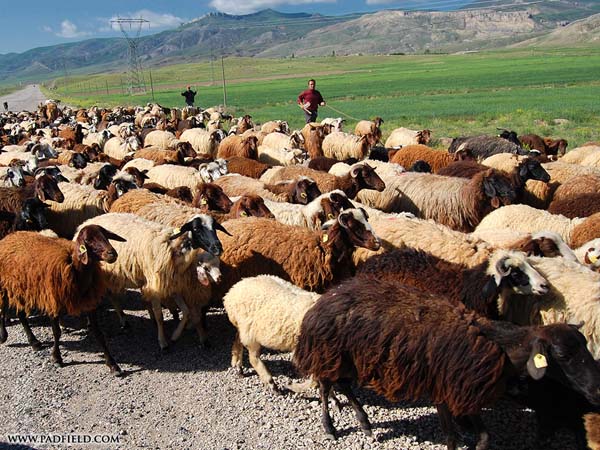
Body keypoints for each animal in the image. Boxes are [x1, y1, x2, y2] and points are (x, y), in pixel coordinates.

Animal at [0, 227, 125, 374]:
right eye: (88, 240)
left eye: (105, 235)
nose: (112, 253)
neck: (76, 270)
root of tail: (10, 236)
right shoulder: (52, 301)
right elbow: (56, 332)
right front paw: (56, 358)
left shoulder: (89, 302)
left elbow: (98, 333)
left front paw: (113, 364)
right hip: (6, 286)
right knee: (3, 309)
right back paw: (3, 335)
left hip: (22, 289)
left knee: (21, 315)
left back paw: (34, 342)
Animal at [78, 213, 229, 350]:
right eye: (197, 228)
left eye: (214, 227)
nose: (218, 248)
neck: (173, 247)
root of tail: (89, 221)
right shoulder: (156, 286)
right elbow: (160, 316)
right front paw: (163, 342)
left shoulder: (173, 285)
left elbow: (185, 311)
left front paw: (175, 335)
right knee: (110, 297)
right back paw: (112, 321)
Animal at [292, 274, 600, 446]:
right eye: (562, 355)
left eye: (586, 346)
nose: (596, 390)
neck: (498, 346)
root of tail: (324, 300)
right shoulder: (447, 390)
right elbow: (452, 437)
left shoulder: (461, 394)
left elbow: (483, 438)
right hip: (329, 351)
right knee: (326, 386)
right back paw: (330, 427)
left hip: (351, 358)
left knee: (343, 385)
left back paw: (365, 423)